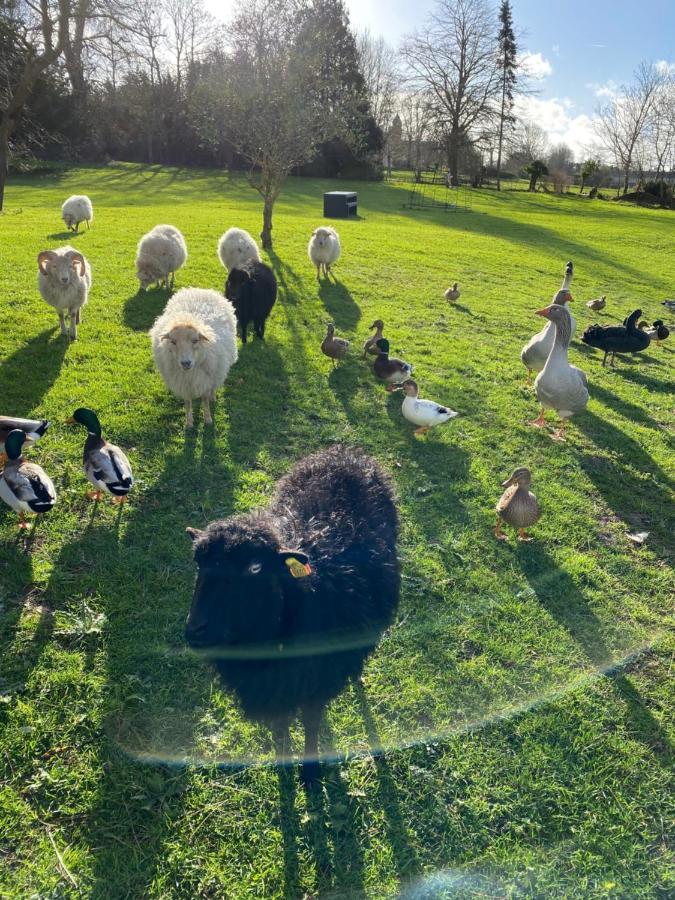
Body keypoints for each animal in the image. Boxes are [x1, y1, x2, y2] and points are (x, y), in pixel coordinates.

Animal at [150, 288, 238, 428]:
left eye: (195, 340)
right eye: (173, 341)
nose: (186, 363)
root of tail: (199, 290)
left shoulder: (206, 380)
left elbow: (205, 401)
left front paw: (208, 419)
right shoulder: (184, 384)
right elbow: (187, 403)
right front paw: (189, 422)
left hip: (217, 372)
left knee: (214, 387)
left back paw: (213, 397)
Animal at [185, 446, 402, 784]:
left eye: (255, 568)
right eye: (198, 563)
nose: (195, 630)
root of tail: (344, 450)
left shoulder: (317, 682)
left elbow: (311, 724)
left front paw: (310, 772)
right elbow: (280, 727)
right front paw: (283, 761)